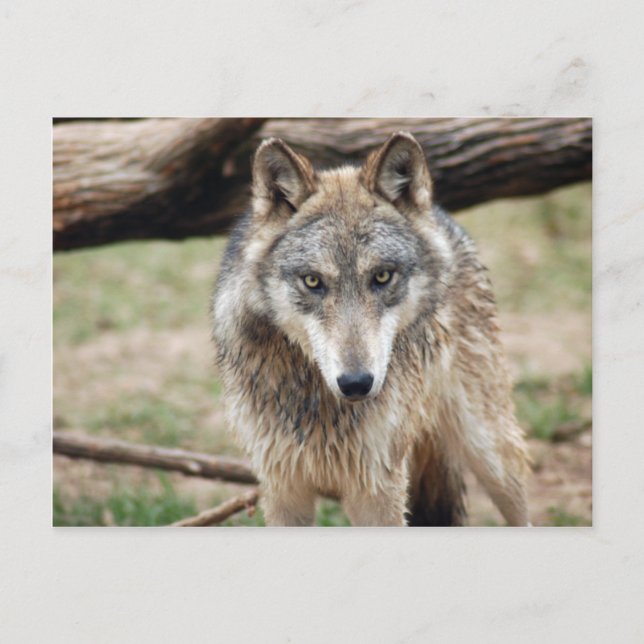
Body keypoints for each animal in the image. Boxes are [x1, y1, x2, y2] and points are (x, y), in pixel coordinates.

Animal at [211, 132, 530, 526]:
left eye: (381, 277)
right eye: (313, 281)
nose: (356, 383)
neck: (317, 400)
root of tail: (440, 215)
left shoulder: (377, 491)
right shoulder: (283, 489)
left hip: (489, 451)